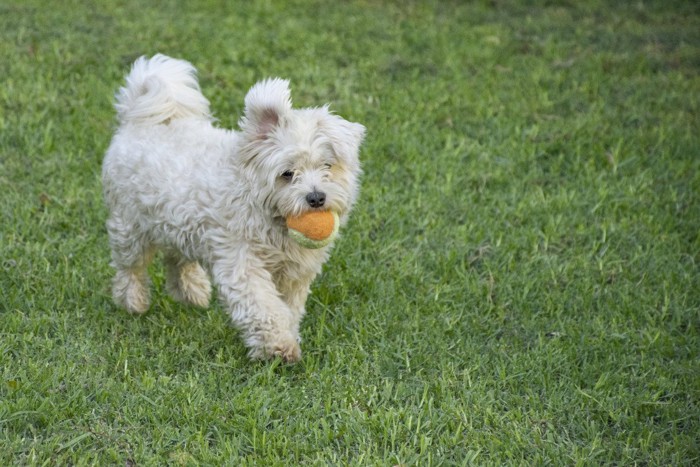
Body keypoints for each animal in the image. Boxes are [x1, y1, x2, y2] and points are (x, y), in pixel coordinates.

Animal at [105, 54, 366, 362]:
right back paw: (133, 301)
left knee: (177, 259)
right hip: (129, 227)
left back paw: (192, 292)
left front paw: (288, 336)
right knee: (131, 267)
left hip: (177, 222)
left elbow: (289, 307)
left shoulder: (294, 273)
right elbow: (264, 306)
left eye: (328, 166)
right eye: (287, 174)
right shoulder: (241, 262)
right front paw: (278, 347)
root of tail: (136, 119)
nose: (316, 198)